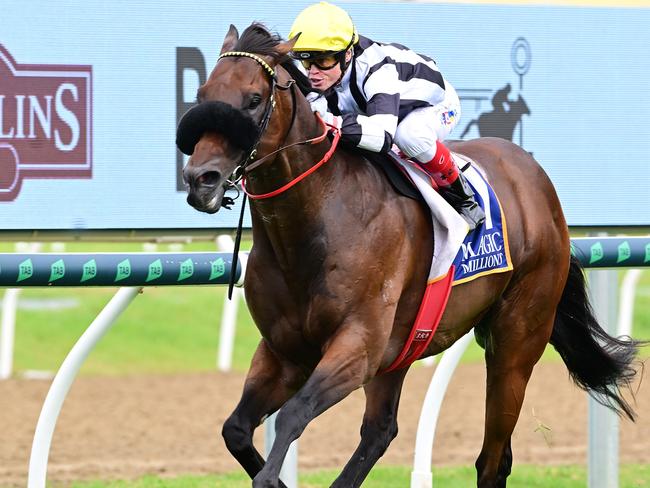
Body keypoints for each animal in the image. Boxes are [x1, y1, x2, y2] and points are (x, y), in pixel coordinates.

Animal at [176, 23, 636, 488]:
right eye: (201, 94)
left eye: (253, 99)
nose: (200, 180)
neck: (317, 222)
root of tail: (537, 181)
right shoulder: (284, 352)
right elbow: (236, 429)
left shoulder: (357, 347)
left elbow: (292, 416)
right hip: (400, 350)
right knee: (381, 431)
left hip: (517, 339)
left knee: (491, 459)